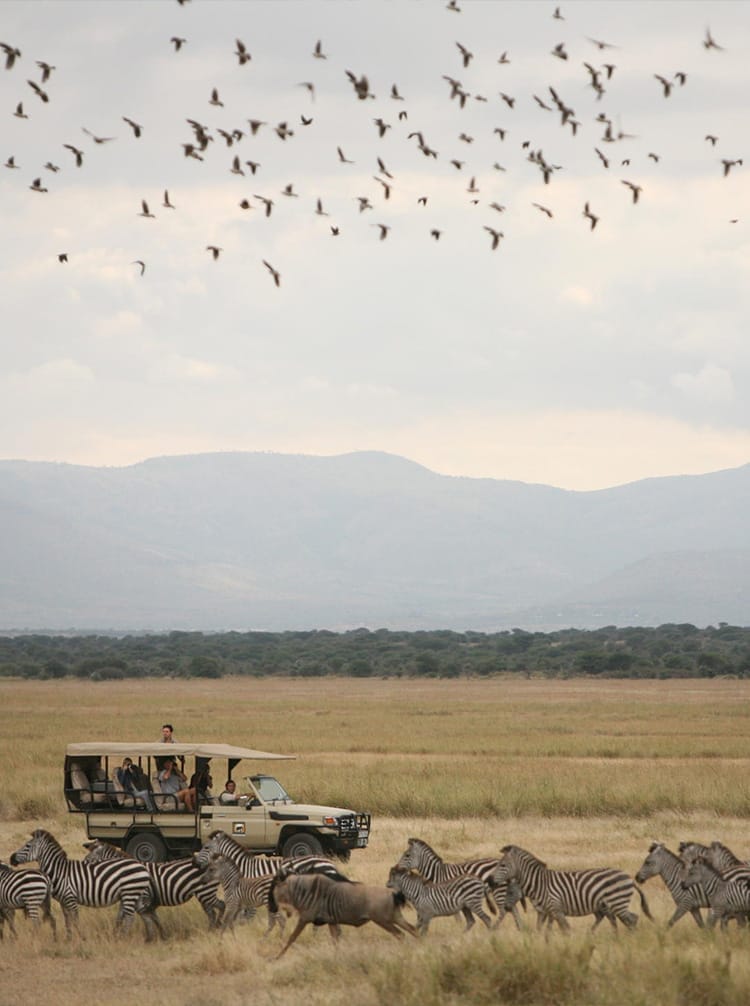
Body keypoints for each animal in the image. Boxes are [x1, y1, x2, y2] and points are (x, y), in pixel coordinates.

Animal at [10, 829, 156, 939]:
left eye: (27, 846)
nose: (11, 858)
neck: (59, 871)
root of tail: (141, 866)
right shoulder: (63, 901)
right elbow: (67, 921)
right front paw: (69, 939)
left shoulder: (71, 898)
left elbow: (75, 920)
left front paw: (81, 938)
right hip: (134, 894)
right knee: (144, 915)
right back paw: (149, 937)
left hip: (130, 893)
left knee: (130, 917)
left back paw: (123, 938)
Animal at [82, 840, 223, 931]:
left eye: (88, 859)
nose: (82, 865)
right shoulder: (129, 897)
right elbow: (120, 916)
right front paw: (116, 933)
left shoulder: (143, 897)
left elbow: (148, 916)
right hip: (203, 894)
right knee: (211, 913)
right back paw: (211, 930)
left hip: (205, 892)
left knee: (217, 908)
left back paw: (215, 928)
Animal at [395, 836, 525, 929]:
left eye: (407, 855)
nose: (396, 868)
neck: (438, 873)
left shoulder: (447, 896)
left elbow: (457, 917)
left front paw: (458, 929)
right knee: (513, 908)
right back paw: (520, 928)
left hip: (499, 890)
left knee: (504, 911)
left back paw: (496, 927)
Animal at [496, 844, 653, 932]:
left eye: (503, 865)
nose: (491, 880)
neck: (539, 883)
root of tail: (630, 878)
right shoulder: (546, 912)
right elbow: (543, 931)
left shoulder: (556, 909)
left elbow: (565, 930)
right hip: (610, 905)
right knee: (619, 919)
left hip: (617, 902)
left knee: (631, 919)